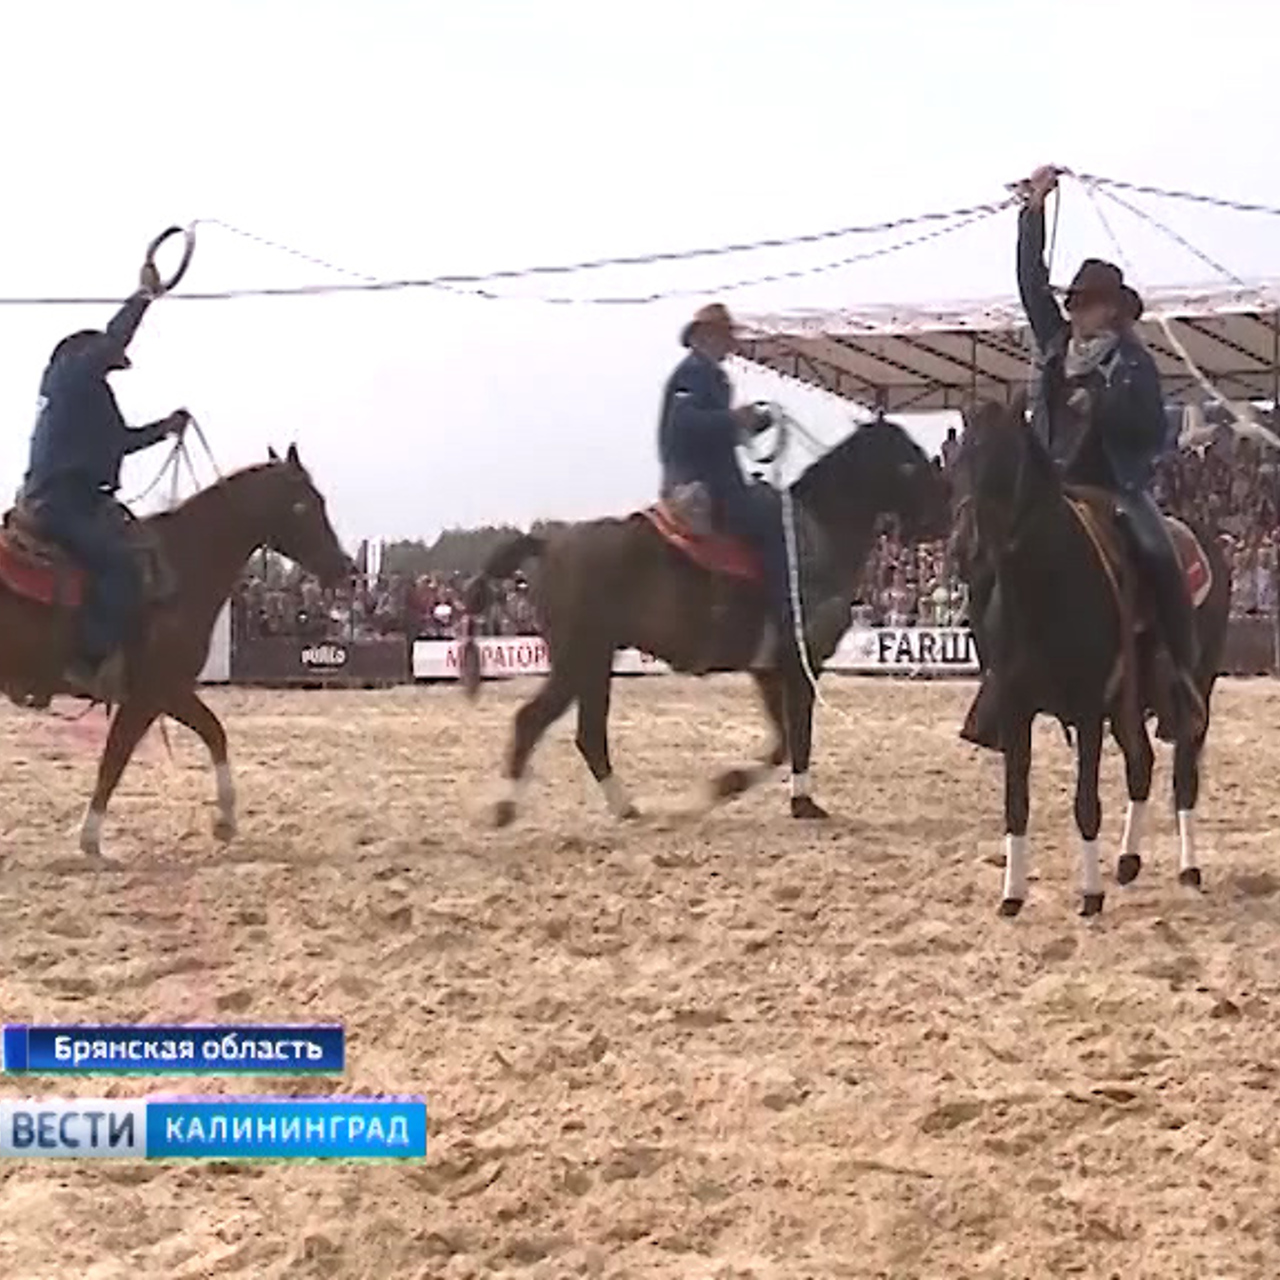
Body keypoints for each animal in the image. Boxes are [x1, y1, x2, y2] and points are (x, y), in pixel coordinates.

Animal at [0, 445, 350, 865]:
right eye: (304, 505)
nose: (344, 568)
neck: (185, 563)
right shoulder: (151, 694)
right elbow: (114, 760)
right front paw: (91, 840)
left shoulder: (170, 692)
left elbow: (214, 732)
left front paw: (225, 822)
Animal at [458, 414, 952, 824]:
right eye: (908, 461)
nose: (943, 517)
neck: (816, 533)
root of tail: (548, 544)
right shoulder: (799, 667)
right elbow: (799, 737)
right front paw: (801, 802)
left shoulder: (768, 671)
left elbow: (781, 743)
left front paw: (726, 785)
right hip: (579, 659)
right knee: (532, 721)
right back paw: (505, 807)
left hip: (594, 664)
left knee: (588, 735)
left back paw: (625, 807)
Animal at [962, 394, 1228, 916]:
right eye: (959, 461)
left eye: (1007, 460)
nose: (966, 551)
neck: (1044, 588)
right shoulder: (1017, 707)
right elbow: (1016, 802)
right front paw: (1012, 896)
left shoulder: (1087, 708)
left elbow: (1086, 803)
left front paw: (1089, 894)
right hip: (1129, 705)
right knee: (1141, 765)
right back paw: (1127, 862)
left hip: (1192, 690)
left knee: (1182, 776)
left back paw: (1187, 869)